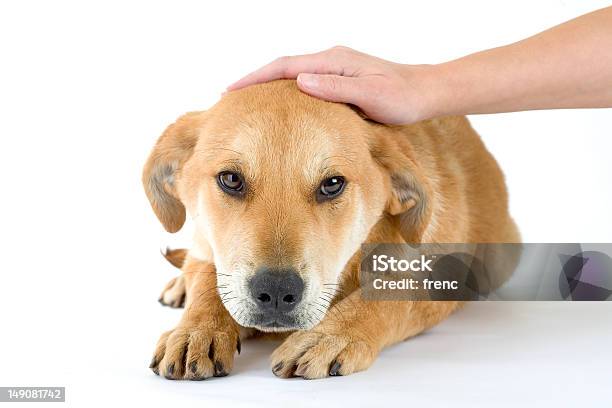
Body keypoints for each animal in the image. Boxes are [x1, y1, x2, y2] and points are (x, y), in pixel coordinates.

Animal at [143, 79, 520, 380]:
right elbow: (210, 280)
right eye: (231, 179)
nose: (276, 292)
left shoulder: (446, 281)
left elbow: (391, 296)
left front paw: (329, 336)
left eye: (332, 184)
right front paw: (196, 331)